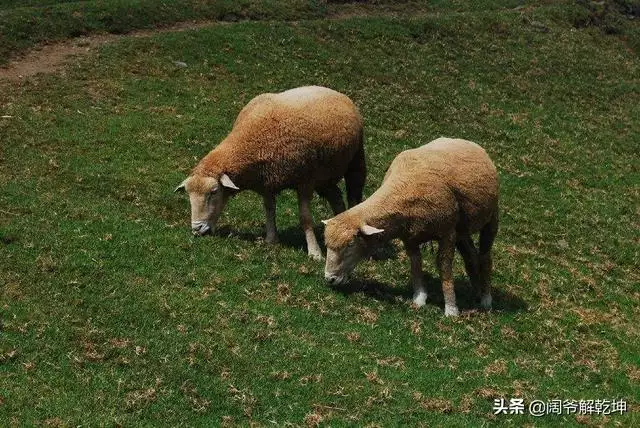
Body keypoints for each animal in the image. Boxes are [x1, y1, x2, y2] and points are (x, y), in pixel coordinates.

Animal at [175, 85, 368, 260]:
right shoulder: (266, 183)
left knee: (354, 195)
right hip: (325, 176)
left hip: (356, 161)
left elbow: (305, 218)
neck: (252, 141)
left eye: (214, 192)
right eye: (189, 195)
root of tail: (335, 91)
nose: (197, 229)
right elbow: (269, 209)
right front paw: (271, 239)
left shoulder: (305, 182)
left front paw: (314, 253)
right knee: (336, 197)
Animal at [322, 136, 498, 314]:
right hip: (462, 228)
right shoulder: (409, 237)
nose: (329, 279)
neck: (403, 189)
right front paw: (419, 299)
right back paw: (476, 293)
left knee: (485, 257)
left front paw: (451, 309)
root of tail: (465, 140)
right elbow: (416, 265)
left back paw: (486, 299)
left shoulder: (447, 232)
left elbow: (444, 266)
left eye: (351, 244)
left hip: (491, 217)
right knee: (471, 257)